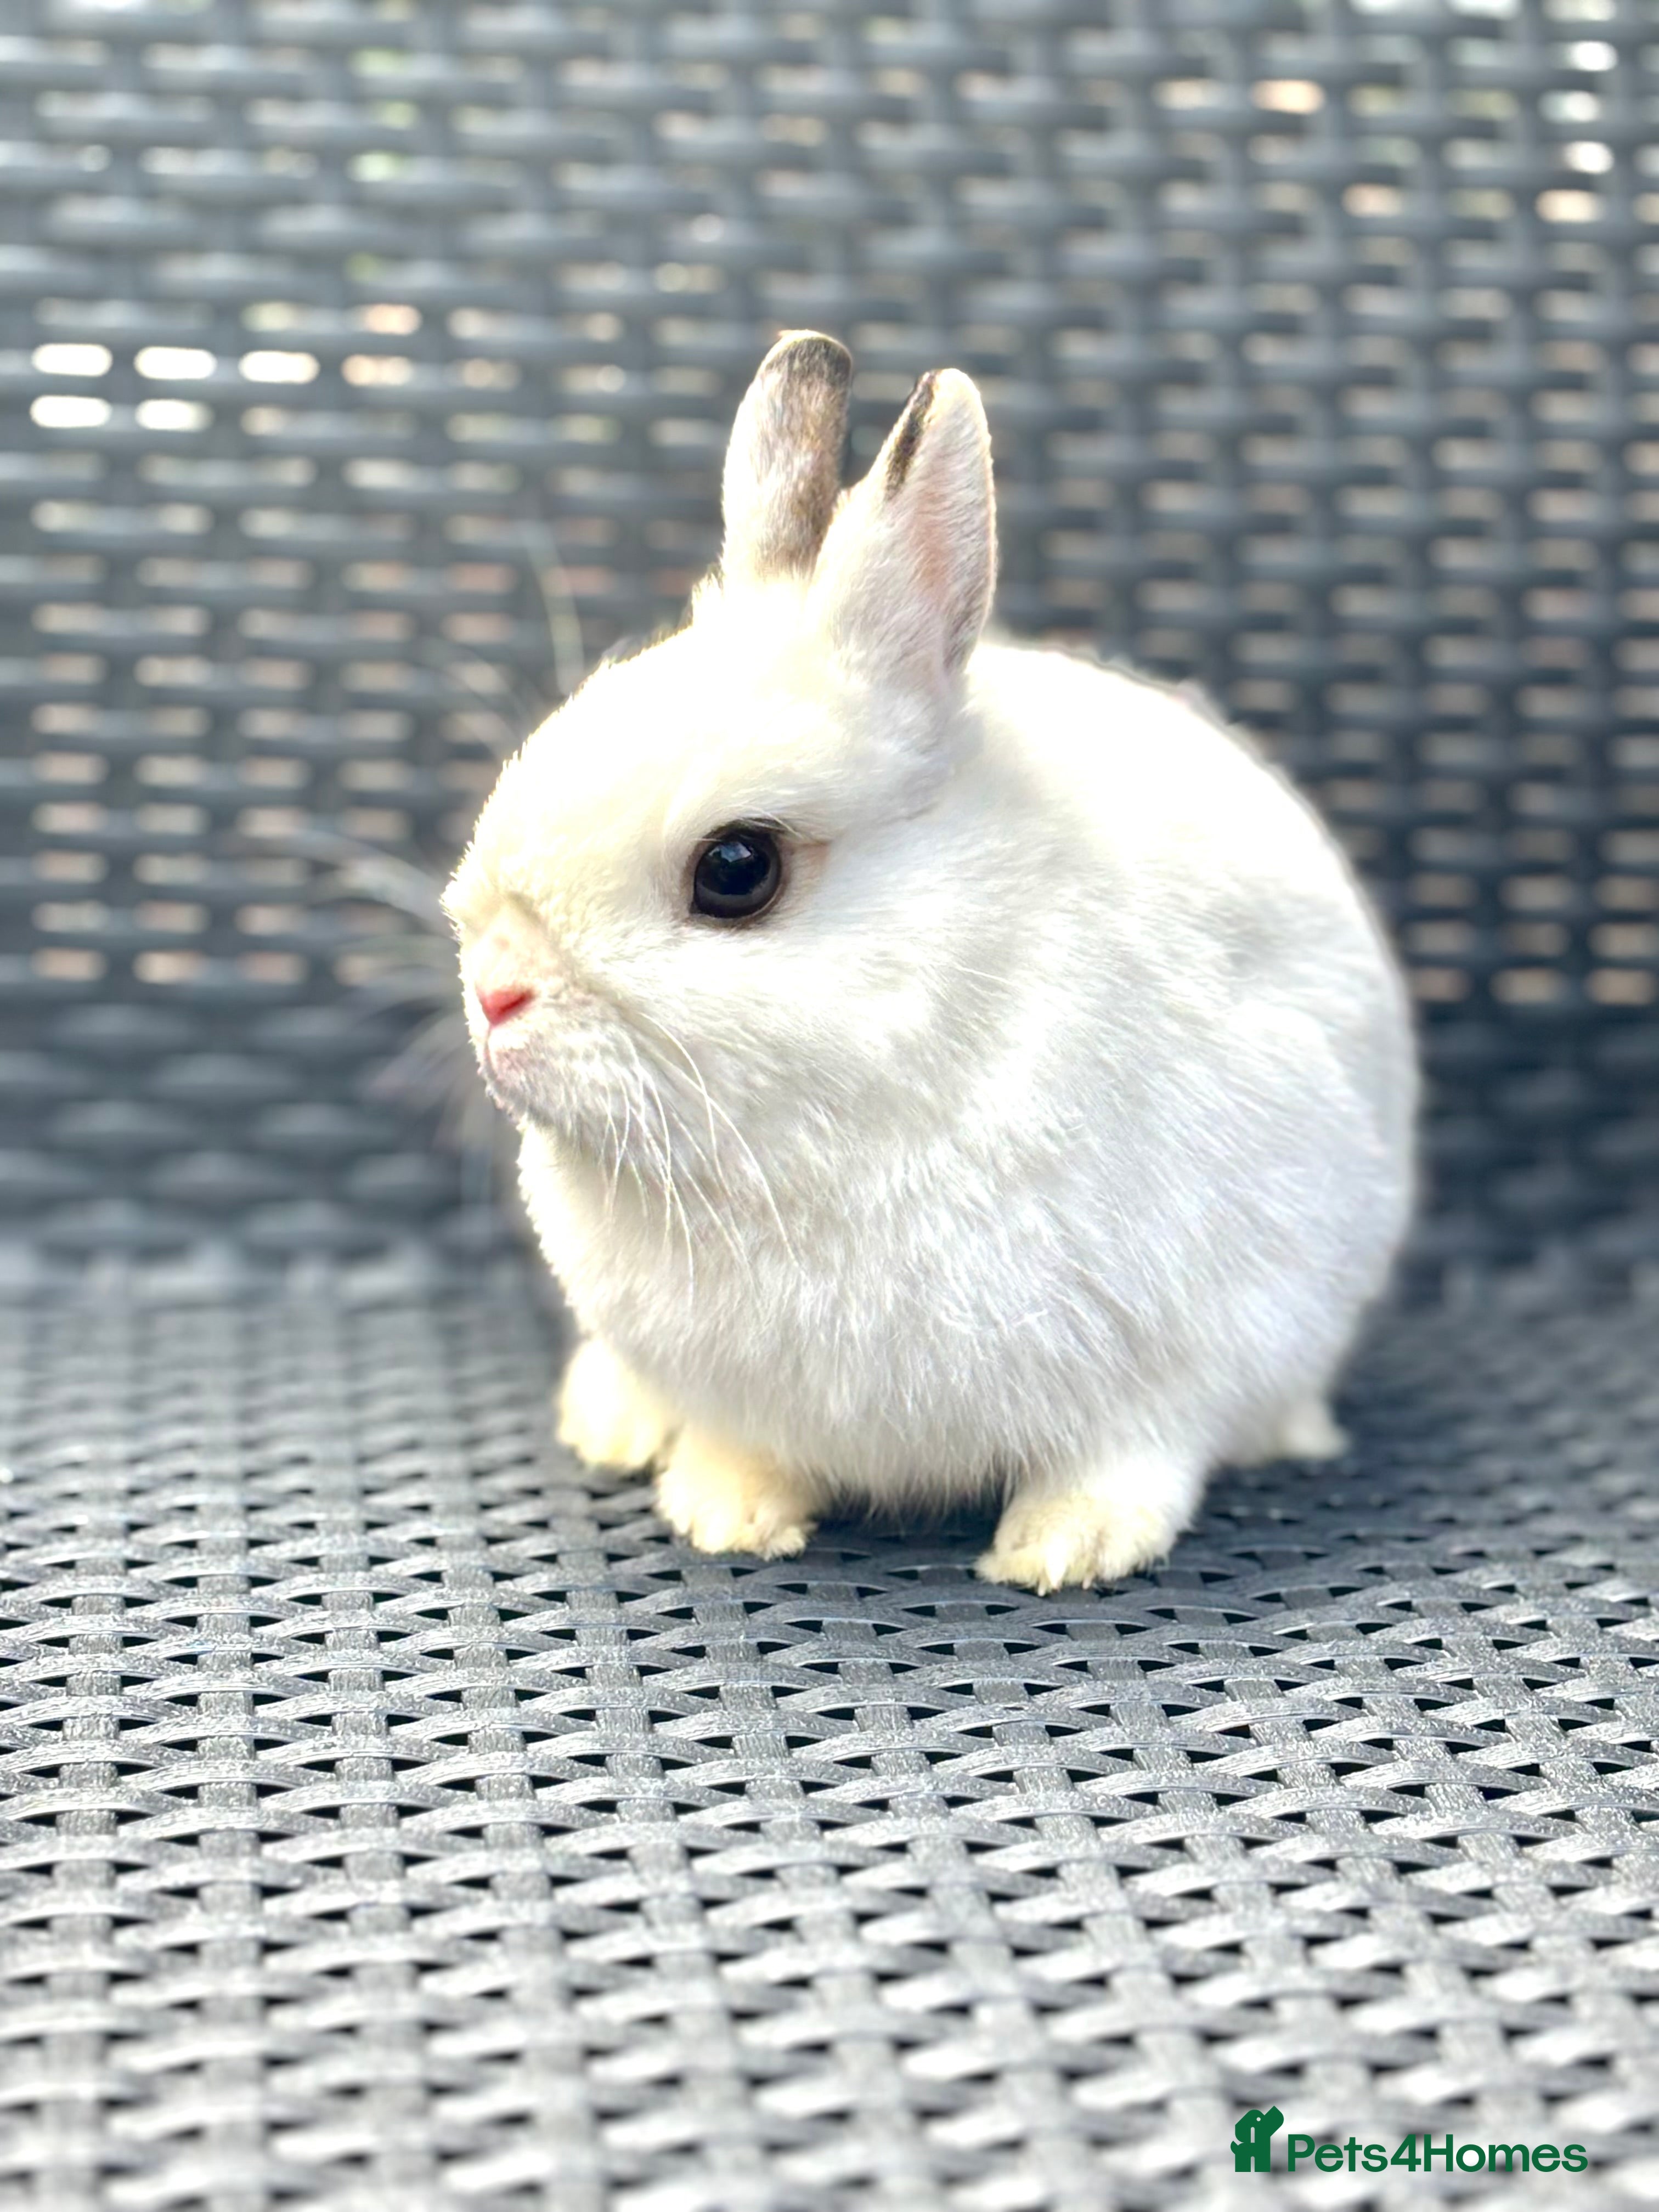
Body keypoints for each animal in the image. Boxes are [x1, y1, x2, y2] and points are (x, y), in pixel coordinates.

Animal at [443, 330, 1417, 1593]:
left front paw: (1065, 1550)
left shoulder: (1196, 1351)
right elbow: (744, 1444)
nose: (493, 992)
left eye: (737, 868)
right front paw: (726, 1512)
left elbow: (1134, 1458)